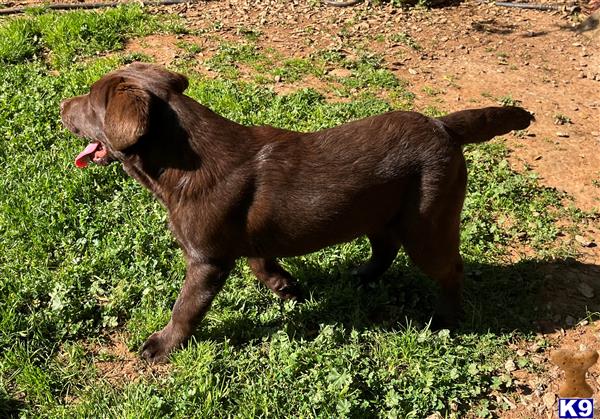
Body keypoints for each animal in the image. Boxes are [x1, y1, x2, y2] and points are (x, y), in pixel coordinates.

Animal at [58, 63, 532, 364]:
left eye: (90, 103)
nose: (63, 105)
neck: (182, 162)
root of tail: (443, 126)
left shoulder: (206, 260)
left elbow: (186, 308)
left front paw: (161, 345)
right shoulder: (245, 239)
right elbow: (260, 259)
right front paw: (285, 286)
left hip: (427, 221)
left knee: (450, 267)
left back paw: (448, 318)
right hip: (381, 211)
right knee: (385, 246)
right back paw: (362, 276)